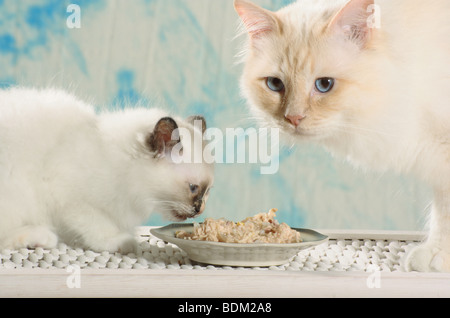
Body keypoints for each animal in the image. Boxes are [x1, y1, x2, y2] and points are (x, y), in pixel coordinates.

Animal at [0, 87, 213, 253]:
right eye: (193, 188)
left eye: (208, 191)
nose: (199, 209)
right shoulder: (73, 201)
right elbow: (98, 228)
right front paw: (121, 241)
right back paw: (39, 237)